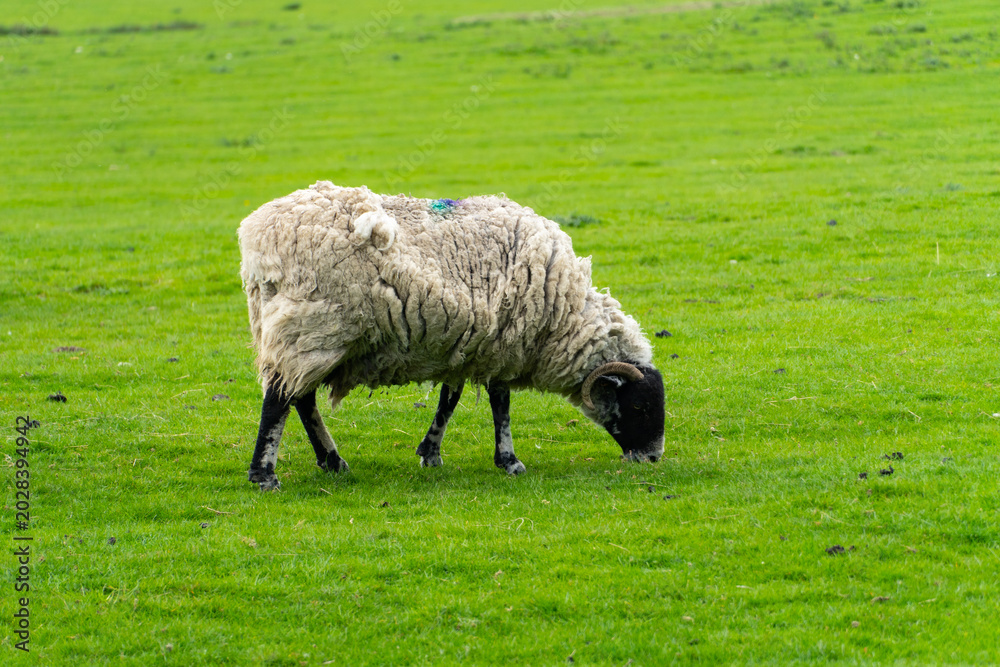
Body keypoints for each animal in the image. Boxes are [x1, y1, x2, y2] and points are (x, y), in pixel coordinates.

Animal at [238, 181, 665, 491]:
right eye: (640, 407)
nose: (653, 458)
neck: (563, 313)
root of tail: (258, 238)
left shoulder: (467, 343)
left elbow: (450, 399)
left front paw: (430, 452)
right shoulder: (502, 345)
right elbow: (500, 404)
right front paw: (509, 461)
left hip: (305, 332)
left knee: (300, 398)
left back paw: (331, 460)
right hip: (314, 325)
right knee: (279, 400)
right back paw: (265, 475)